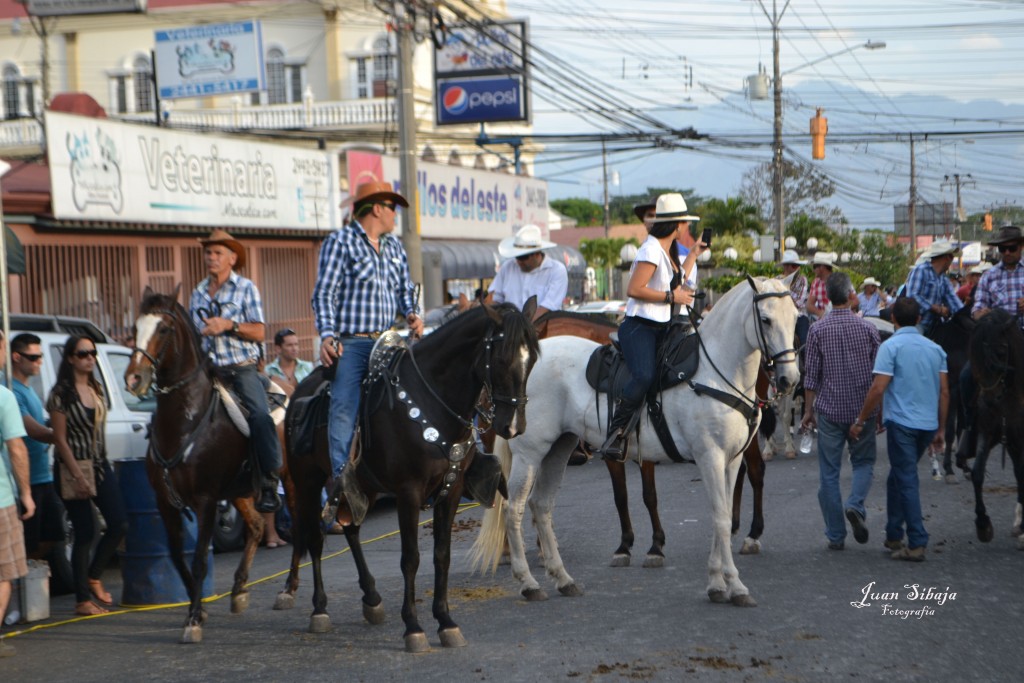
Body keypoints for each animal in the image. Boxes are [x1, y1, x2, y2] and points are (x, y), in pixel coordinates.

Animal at [126, 288, 292, 647]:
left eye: (163, 329)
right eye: (134, 328)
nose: (133, 378)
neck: (185, 420)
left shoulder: (205, 500)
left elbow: (200, 558)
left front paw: (192, 620)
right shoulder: (165, 503)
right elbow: (178, 557)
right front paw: (198, 609)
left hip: (295, 480)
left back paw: (289, 590)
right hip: (241, 490)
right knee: (256, 526)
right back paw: (239, 589)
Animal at [276, 301, 540, 655]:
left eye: (532, 359)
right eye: (500, 359)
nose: (512, 425)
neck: (431, 401)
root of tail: (297, 394)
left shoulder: (451, 490)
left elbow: (441, 555)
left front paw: (446, 622)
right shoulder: (408, 492)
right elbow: (410, 558)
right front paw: (413, 628)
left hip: (361, 485)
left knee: (351, 528)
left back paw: (372, 599)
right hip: (308, 481)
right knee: (316, 536)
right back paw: (319, 609)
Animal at [468, 274, 798, 606]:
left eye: (795, 317)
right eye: (766, 320)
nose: (790, 379)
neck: (713, 373)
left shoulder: (730, 459)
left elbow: (724, 514)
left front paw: (717, 583)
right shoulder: (710, 458)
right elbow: (718, 517)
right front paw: (734, 585)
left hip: (559, 448)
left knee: (541, 505)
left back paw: (562, 578)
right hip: (530, 453)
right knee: (514, 508)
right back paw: (528, 582)